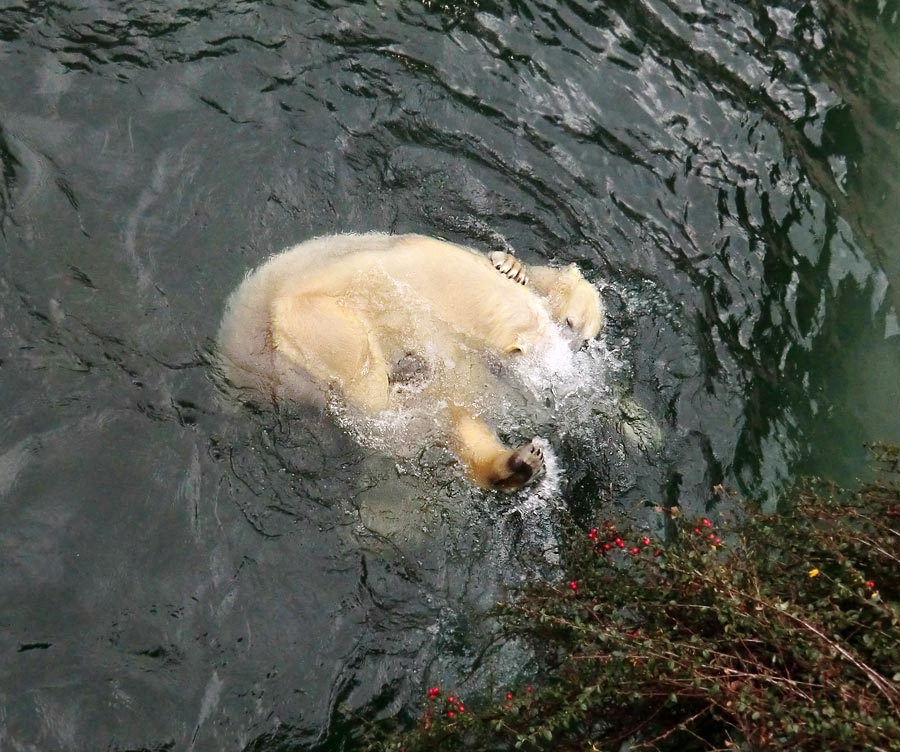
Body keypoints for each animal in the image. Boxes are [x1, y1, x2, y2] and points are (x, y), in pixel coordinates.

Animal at [214, 235, 600, 494]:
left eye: (584, 337)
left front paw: (513, 267)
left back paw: (522, 462)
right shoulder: (325, 299)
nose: (566, 359)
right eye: (569, 324)